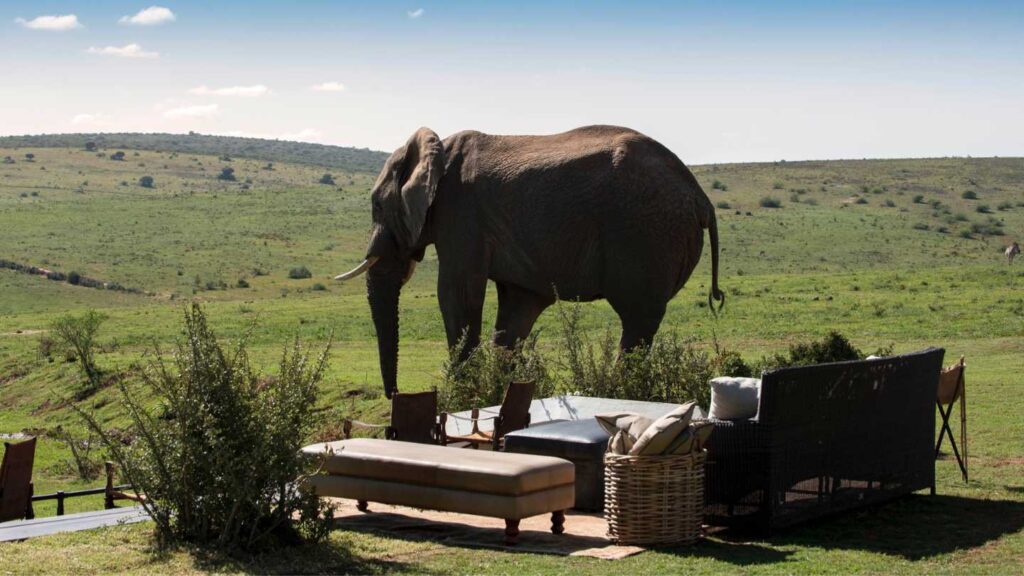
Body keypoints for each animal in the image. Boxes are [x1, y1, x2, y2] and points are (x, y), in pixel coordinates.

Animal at [336, 125, 724, 398]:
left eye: (376, 206)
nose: (395, 394)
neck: (438, 147)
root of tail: (700, 196)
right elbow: (517, 310)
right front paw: (499, 391)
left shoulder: (461, 217)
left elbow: (457, 294)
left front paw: (460, 395)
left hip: (646, 233)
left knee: (637, 320)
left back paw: (620, 391)